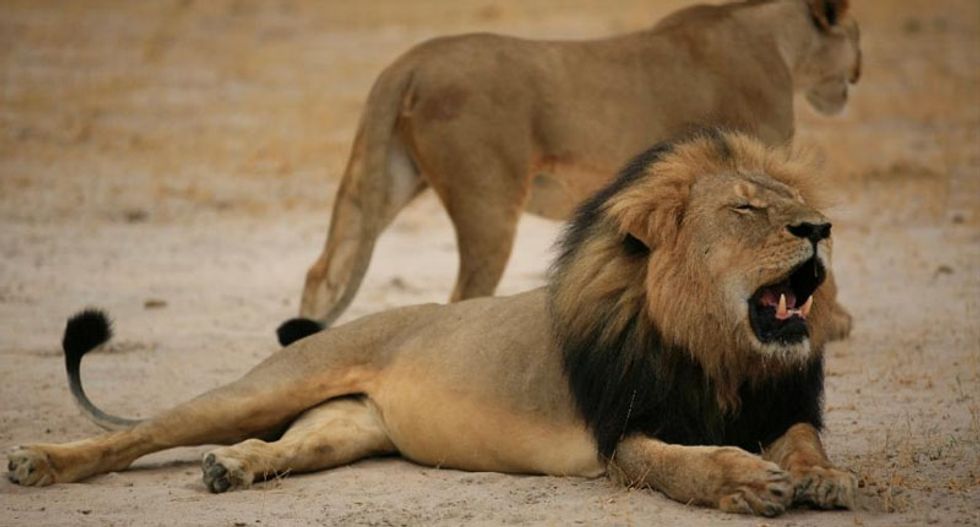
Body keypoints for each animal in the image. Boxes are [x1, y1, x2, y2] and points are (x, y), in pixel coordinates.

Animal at [7, 130, 855, 517]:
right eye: (746, 208)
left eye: (792, 201)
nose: (821, 228)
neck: (718, 351)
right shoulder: (623, 433)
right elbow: (685, 464)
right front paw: (747, 480)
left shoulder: (778, 404)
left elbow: (804, 440)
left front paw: (825, 477)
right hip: (267, 385)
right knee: (141, 433)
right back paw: (40, 461)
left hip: (345, 427)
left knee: (283, 444)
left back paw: (233, 468)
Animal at [295, 0, 861, 338]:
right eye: (856, 37)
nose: (858, 71)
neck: (781, 44)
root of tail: (407, 61)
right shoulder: (756, 164)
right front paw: (831, 321)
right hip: (488, 204)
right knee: (463, 296)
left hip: (386, 178)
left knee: (324, 270)